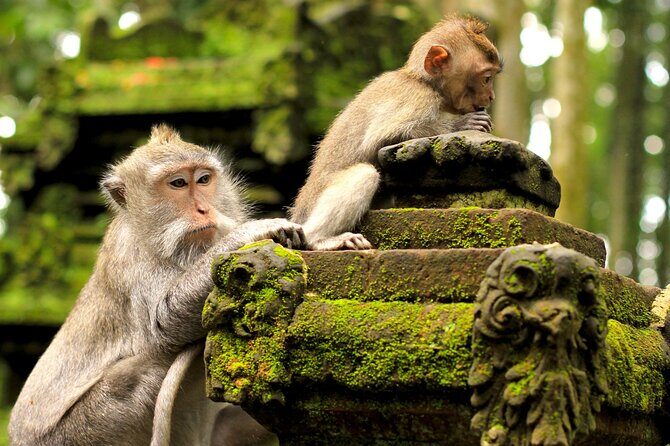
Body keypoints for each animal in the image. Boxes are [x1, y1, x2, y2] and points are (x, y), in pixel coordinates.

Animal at [9, 125, 302, 446]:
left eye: (203, 180)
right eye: (178, 183)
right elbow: (163, 323)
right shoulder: (132, 256)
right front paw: (250, 232)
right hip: (85, 429)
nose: (203, 209)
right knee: (143, 369)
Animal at [290, 15, 501, 250]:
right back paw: (319, 239)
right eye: (486, 78)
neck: (422, 81)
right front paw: (462, 123)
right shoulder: (418, 98)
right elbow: (380, 138)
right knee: (365, 174)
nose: (491, 96)